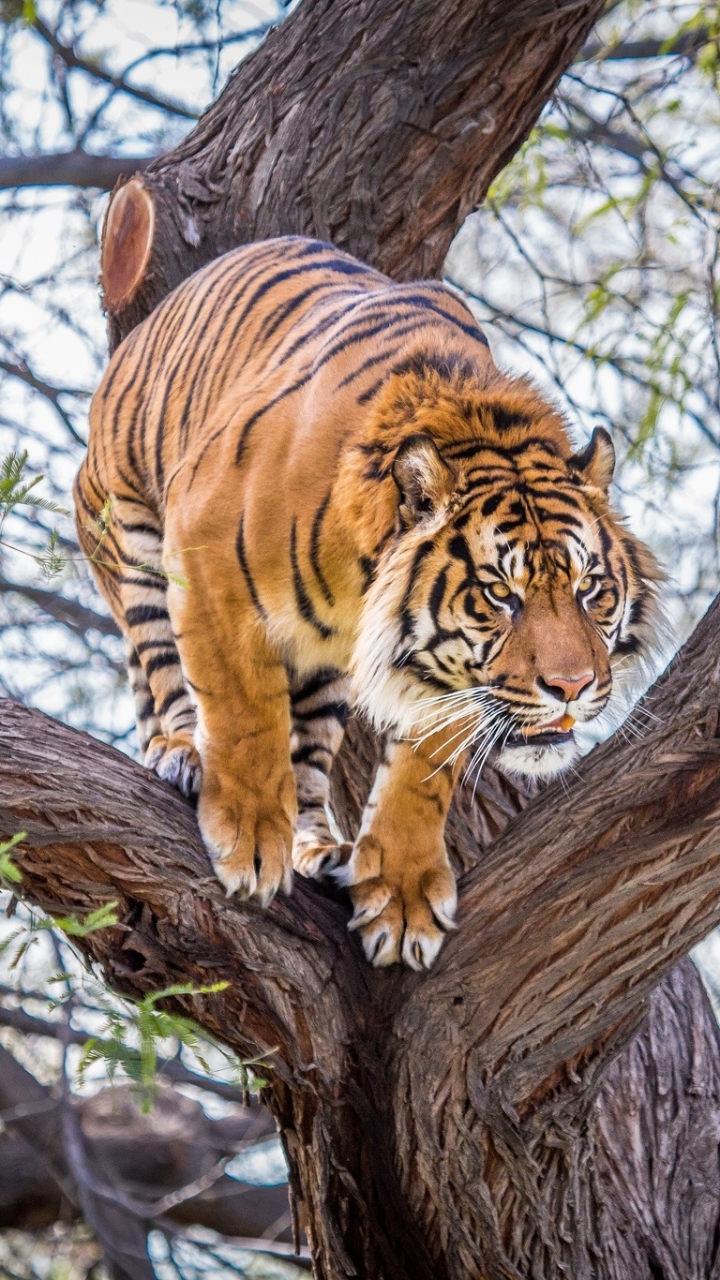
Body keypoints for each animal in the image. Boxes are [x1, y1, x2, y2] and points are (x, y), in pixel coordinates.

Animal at [75, 232, 661, 967]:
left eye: (589, 590)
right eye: (501, 594)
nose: (573, 687)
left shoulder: (447, 678)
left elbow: (422, 773)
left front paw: (403, 898)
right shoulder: (205, 558)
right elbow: (243, 712)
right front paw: (248, 837)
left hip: (325, 671)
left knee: (308, 759)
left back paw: (319, 846)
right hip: (130, 533)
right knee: (162, 672)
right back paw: (184, 754)